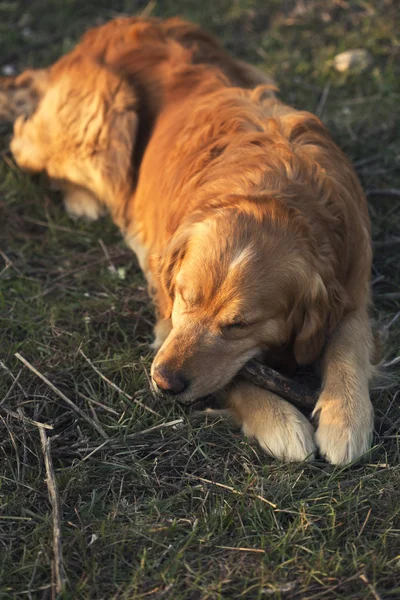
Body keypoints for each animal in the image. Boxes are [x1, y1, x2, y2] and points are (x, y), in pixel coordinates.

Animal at [0, 15, 376, 464]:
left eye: (239, 325)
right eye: (182, 295)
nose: (164, 382)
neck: (274, 189)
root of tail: (106, 28)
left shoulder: (352, 279)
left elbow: (349, 345)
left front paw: (345, 417)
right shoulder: (167, 319)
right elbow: (229, 377)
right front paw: (280, 421)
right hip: (107, 116)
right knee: (24, 144)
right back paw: (83, 199)